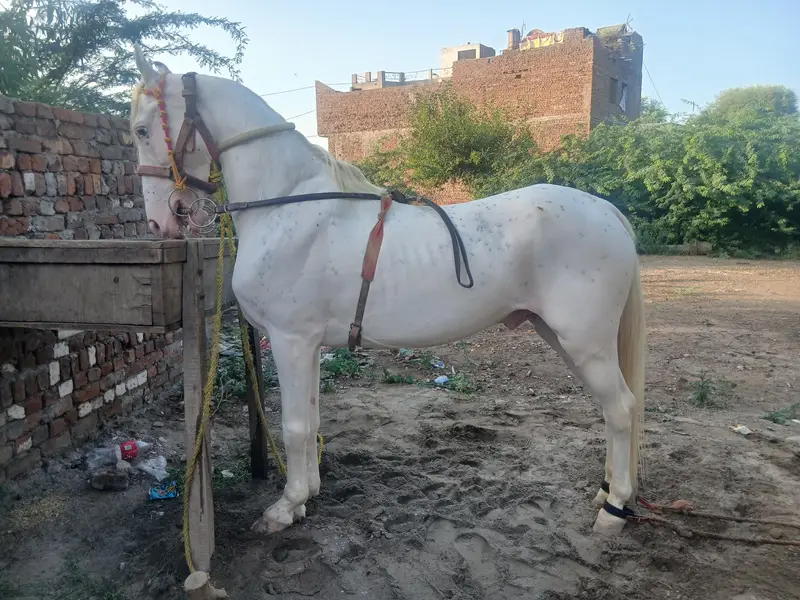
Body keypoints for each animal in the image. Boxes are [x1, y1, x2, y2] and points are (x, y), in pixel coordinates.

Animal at [129, 45, 647, 537]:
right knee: (610, 410)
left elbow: (294, 427)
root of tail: (606, 210)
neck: (288, 203)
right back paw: (606, 492)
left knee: (621, 409)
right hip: (565, 340)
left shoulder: (290, 340)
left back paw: (614, 510)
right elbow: (312, 420)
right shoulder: (309, 345)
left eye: (139, 130)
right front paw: (308, 494)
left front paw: (285, 507)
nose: (159, 222)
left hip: (584, 343)